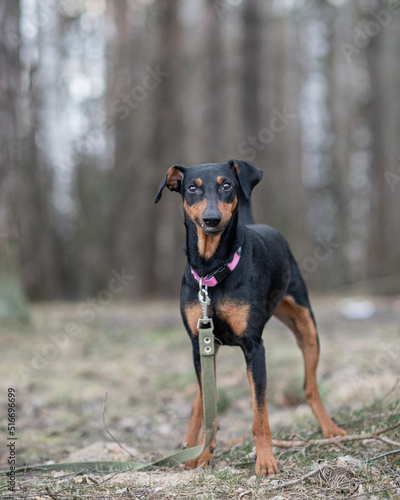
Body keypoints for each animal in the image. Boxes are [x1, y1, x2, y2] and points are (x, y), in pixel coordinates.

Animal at [155, 160, 346, 476]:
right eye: (192, 188)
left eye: (227, 185)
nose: (211, 219)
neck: (212, 270)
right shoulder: (199, 343)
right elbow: (207, 406)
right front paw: (203, 455)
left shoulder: (255, 348)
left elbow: (260, 415)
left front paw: (266, 461)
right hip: (206, 351)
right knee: (199, 402)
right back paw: (190, 445)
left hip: (306, 326)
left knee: (310, 386)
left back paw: (330, 428)